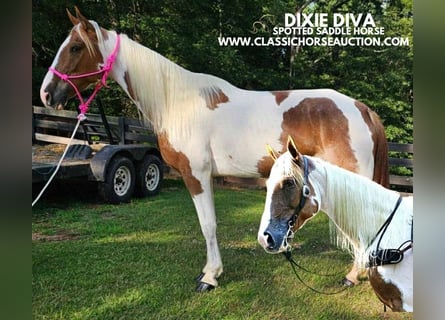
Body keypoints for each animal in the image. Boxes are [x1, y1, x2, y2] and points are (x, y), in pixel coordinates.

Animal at [40, 6, 386, 292]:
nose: (46, 93)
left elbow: (208, 224)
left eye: (75, 47)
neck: (177, 102)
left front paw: (210, 276)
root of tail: (361, 108)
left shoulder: (196, 175)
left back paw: (352, 276)